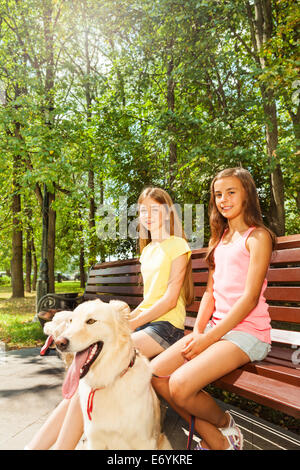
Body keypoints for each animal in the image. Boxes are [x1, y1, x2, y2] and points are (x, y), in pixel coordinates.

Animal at [54, 300, 171, 450]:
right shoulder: (94, 441)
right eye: (71, 321)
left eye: (91, 321)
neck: (108, 380)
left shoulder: (145, 442)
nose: (59, 343)